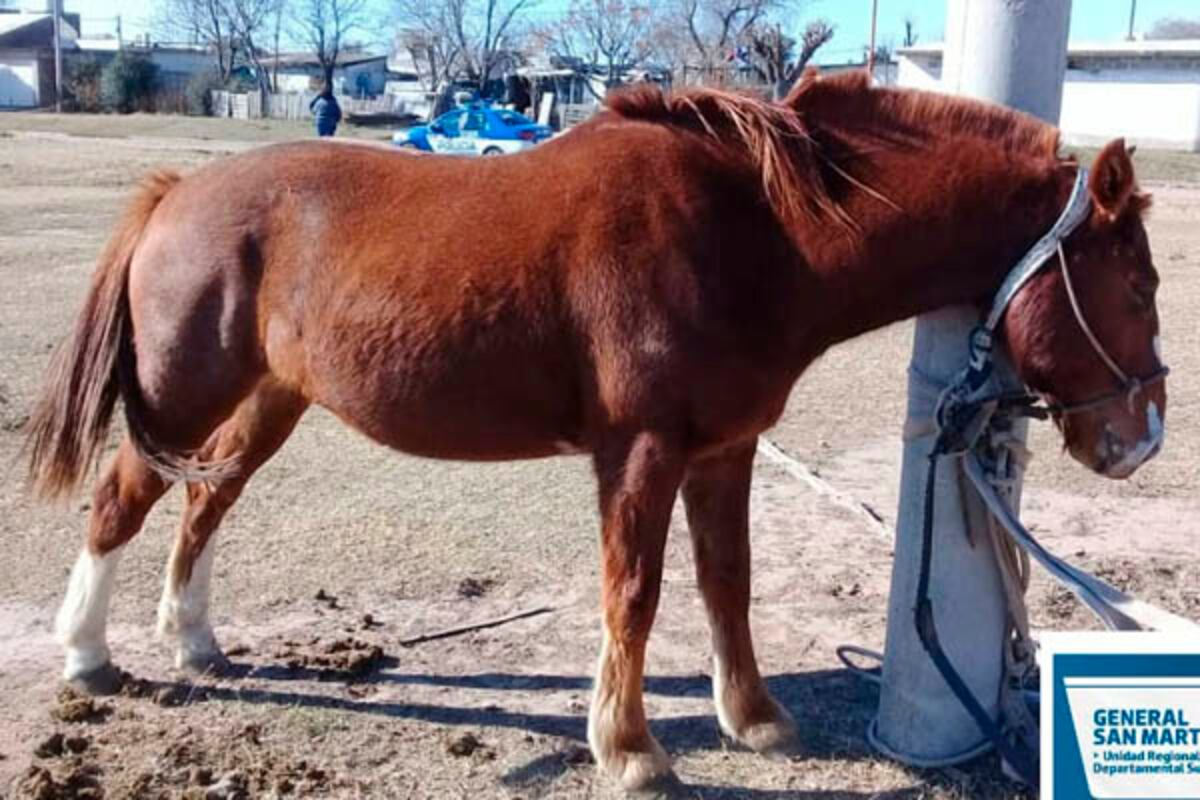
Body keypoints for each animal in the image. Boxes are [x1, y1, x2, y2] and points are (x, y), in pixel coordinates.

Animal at [25, 70, 1166, 790]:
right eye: (1139, 286)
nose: (1141, 438)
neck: (755, 231)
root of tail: (178, 193)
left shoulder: (723, 451)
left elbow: (726, 582)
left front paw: (754, 717)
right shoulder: (641, 452)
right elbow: (636, 591)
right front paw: (630, 748)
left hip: (266, 403)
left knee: (205, 500)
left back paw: (195, 639)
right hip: (187, 394)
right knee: (122, 500)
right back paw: (87, 655)